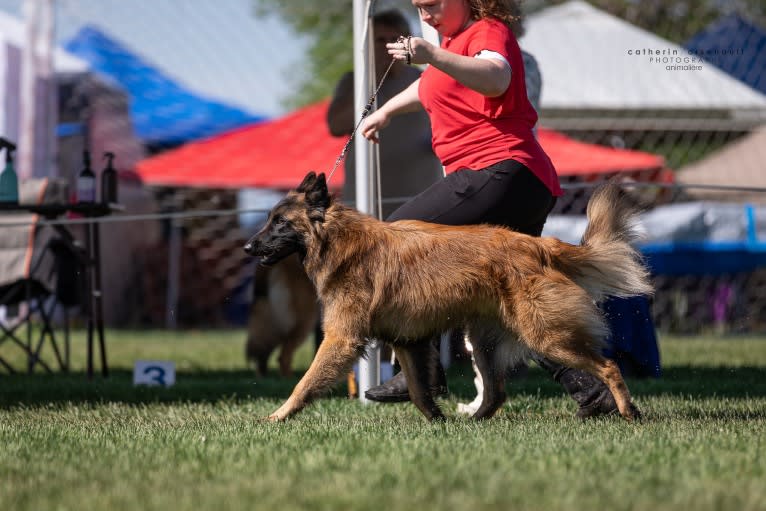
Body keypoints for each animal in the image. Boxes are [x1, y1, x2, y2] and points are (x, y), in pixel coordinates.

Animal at [246, 173, 656, 424]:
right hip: (487, 342)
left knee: (608, 366)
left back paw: (628, 412)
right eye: (268, 219)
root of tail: (538, 245)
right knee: (495, 393)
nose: (248, 247)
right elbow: (418, 391)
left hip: (546, 334)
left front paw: (276, 417)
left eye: (280, 222)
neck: (339, 239)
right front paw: (438, 422)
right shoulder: (407, 341)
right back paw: (472, 424)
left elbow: (304, 383)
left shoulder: (341, 338)